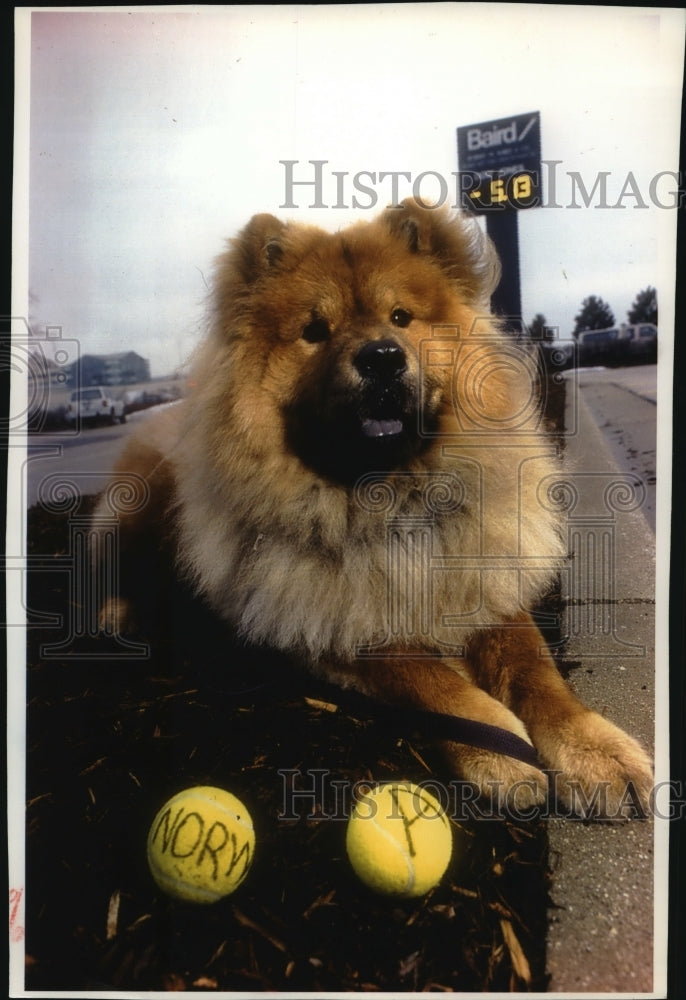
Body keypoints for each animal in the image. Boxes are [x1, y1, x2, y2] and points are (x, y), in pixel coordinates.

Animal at [94, 199, 652, 816]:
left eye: (401, 317)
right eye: (315, 331)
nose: (381, 358)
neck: (392, 503)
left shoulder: (487, 588)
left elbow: (536, 670)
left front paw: (592, 749)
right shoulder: (326, 626)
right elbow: (426, 678)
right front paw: (499, 746)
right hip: (138, 508)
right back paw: (120, 614)